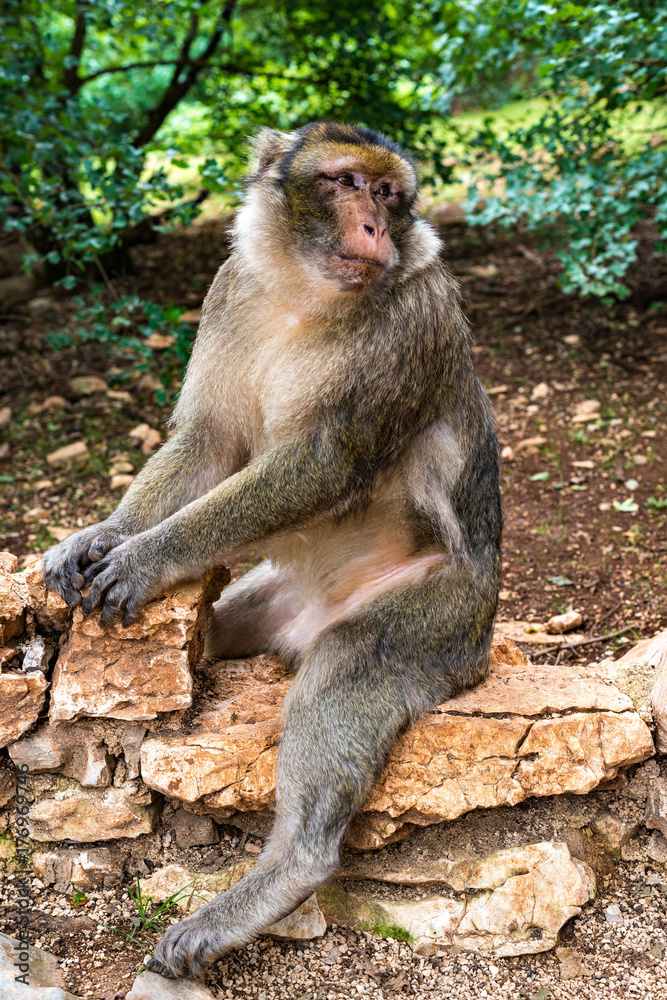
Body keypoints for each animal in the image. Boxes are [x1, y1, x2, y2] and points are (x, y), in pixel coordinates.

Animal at [41, 121, 500, 980]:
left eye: (389, 194)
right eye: (345, 182)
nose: (374, 226)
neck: (301, 294)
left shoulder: (412, 316)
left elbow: (319, 465)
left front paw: (147, 555)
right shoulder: (230, 291)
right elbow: (209, 439)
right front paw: (105, 532)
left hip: (445, 617)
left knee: (349, 665)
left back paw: (283, 875)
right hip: (277, 600)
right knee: (224, 626)